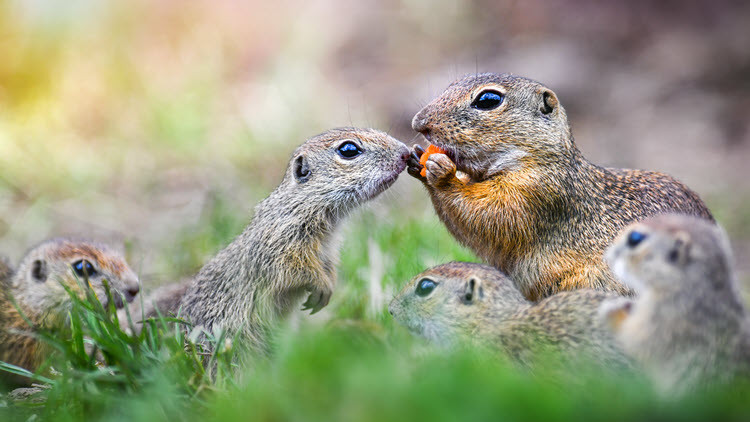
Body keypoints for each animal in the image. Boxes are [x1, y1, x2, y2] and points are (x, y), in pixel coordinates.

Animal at [138, 128, 409, 356]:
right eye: (349, 149)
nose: (406, 153)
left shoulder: (328, 252)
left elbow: (329, 268)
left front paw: (329, 285)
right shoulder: (281, 246)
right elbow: (297, 270)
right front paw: (321, 286)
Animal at [406, 73, 713, 301]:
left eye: (488, 99)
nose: (419, 122)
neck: (541, 157)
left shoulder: (536, 194)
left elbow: (489, 218)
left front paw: (441, 172)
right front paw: (417, 158)